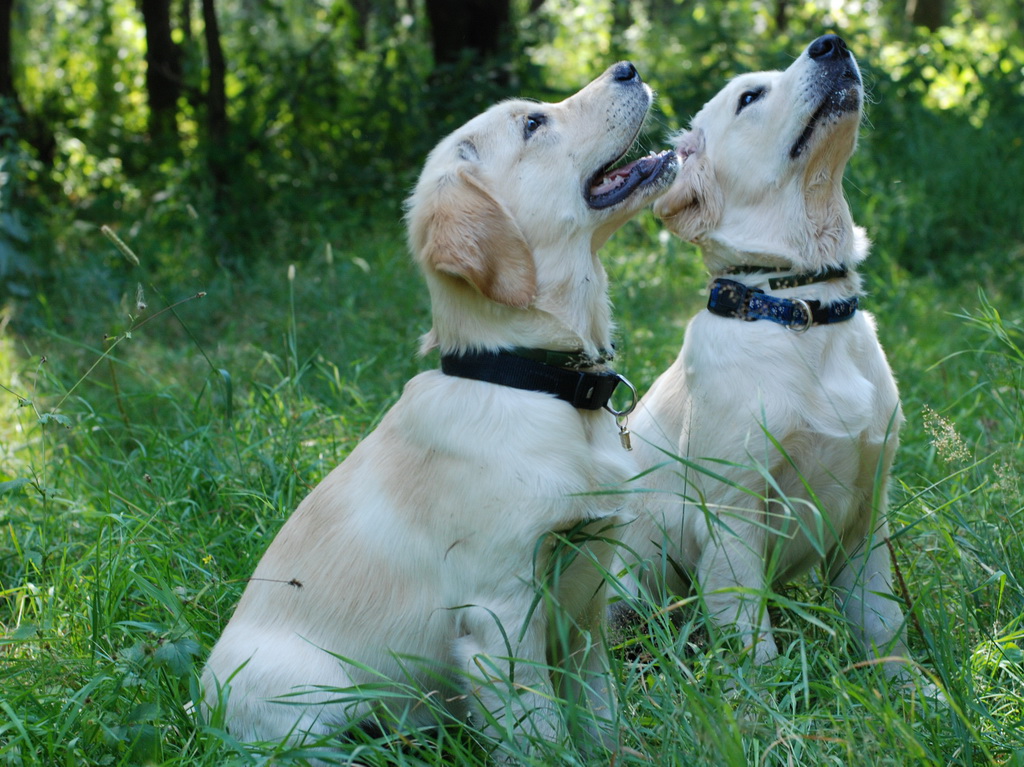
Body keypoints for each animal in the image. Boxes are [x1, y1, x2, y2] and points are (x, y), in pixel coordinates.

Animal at [199, 62, 679, 757]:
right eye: (533, 123)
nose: (628, 68)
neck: (530, 382)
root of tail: (198, 707)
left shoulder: (587, 592)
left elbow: (598, 707)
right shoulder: (499, 614)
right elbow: (543, 734)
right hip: (308, 702)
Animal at [614, 37, 921, 684]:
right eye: (749, 97)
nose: (832, 42)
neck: (800, 306)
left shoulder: (868, 515)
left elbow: (884, 626)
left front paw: (916, 691)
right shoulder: (732, 515)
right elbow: (752, 645)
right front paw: (766, 703)